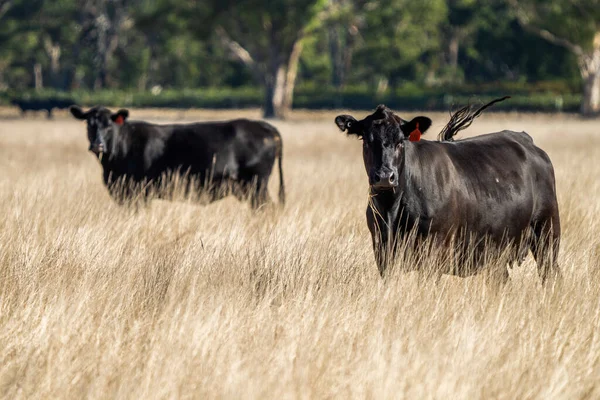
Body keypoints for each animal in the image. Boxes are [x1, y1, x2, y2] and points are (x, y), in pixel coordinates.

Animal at [70, 104, 286, 208]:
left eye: (109, 125)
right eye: (89, 124)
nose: (97, 145)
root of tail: (266, 127)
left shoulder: (138, 192)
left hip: (256, 185)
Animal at [336, 98, 560, 282]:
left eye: (401, 141)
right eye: (366, 140)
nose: (384, 176)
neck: (392, 208)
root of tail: (525, 139)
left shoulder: (433, 250)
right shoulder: (383, 250)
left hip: (547, 232)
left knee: (551, 274)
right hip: (497, 252)